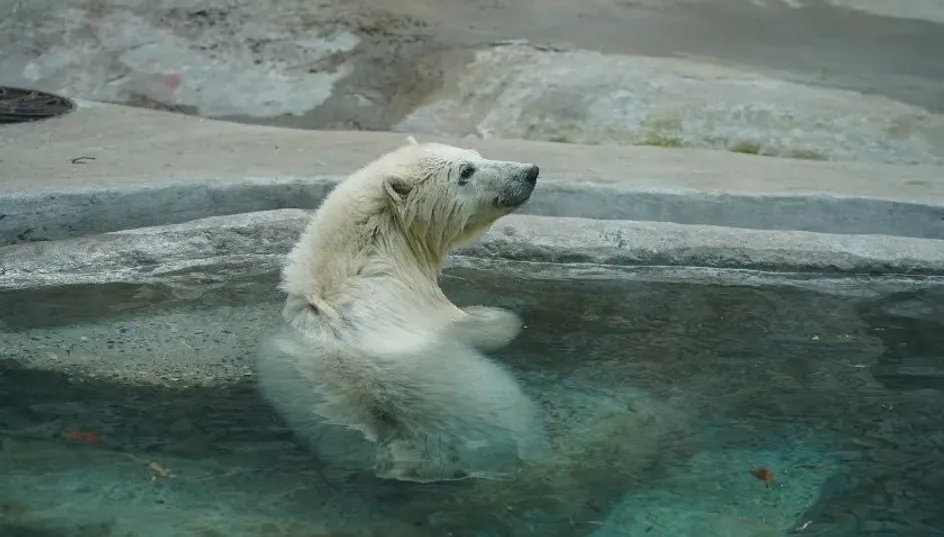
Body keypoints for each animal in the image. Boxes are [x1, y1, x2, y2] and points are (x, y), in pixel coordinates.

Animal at [254, 138, 544, 482]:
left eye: (476, 155)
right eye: (466, 171)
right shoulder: (419, 303)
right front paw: (502, 315)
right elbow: (479, 327)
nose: (529, 173)